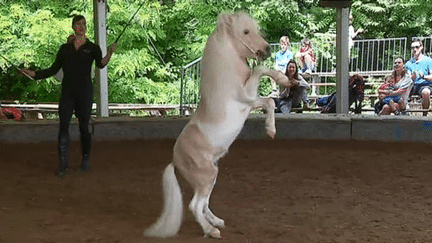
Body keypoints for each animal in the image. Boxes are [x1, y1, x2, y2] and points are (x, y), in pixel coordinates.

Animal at [144, 11, 290, 239]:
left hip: (210, 176)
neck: (226, 70)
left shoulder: (251, 102)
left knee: (203, 204)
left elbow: (270, 102)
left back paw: (217, 221)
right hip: (206, 176)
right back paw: (211, 230)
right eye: (245, 32)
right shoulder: (247, 95)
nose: (266, 49)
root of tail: (175, 160)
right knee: (195, 205)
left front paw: (271, 129)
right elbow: (260, 73)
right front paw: (282, 80)